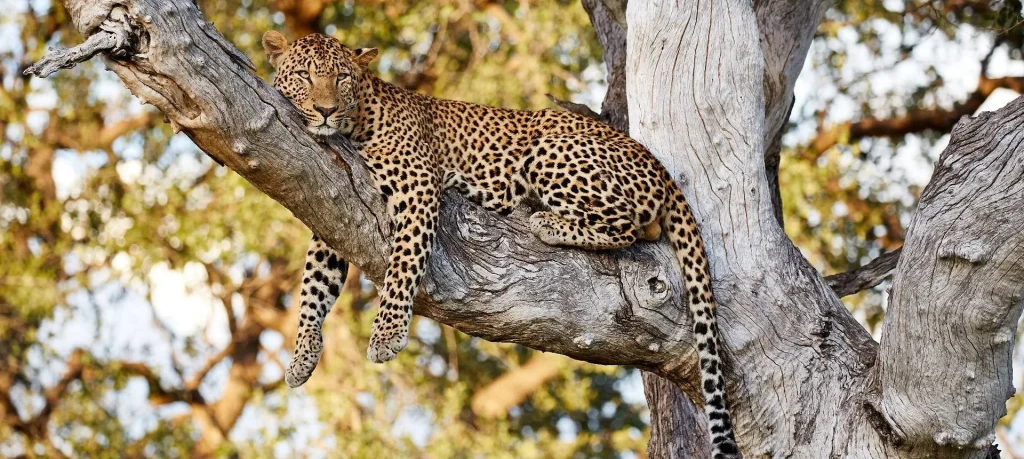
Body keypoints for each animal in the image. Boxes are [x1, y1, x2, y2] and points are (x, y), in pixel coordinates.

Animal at [262, 31, 740, 458]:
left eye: (341, 77)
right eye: (304, 75)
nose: (325, 110)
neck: (357, 119)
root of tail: (658, 164)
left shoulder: (418, 188)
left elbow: (401, 265)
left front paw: (386, 336)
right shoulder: (333, 206)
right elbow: (313, 287)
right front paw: (301, 358)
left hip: (551, 151)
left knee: (628, 225)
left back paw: (546, 222)